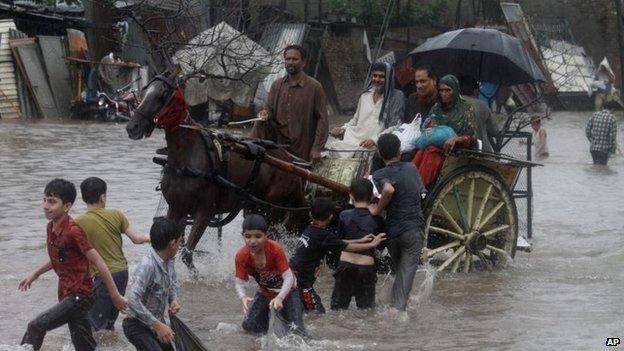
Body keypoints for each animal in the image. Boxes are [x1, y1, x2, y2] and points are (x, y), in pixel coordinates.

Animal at [127, 71, 310, 270]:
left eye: (162, 94)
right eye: (143, 92)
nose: (132, 127)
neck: (185, 160)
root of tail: (290, 161)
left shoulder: (205, 213)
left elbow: (187, 254)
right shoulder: (176, 209)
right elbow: (171, 249)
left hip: (274, 209)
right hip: (255, 207)